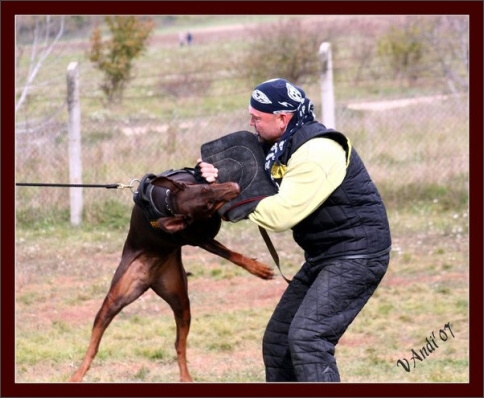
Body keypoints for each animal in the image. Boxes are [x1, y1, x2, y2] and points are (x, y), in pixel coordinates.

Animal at [68, 169, 274, 382]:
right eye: (207, 204)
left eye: (205, 188)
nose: (234, 187)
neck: (168, 202)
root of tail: (151, 278)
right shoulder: (202, 240)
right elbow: (231, 254)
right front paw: (259, 269)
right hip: (116, 297)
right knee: (95, 343)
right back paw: (78, 374)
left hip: (179, 299)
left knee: (179, 344)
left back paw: (185, 377)